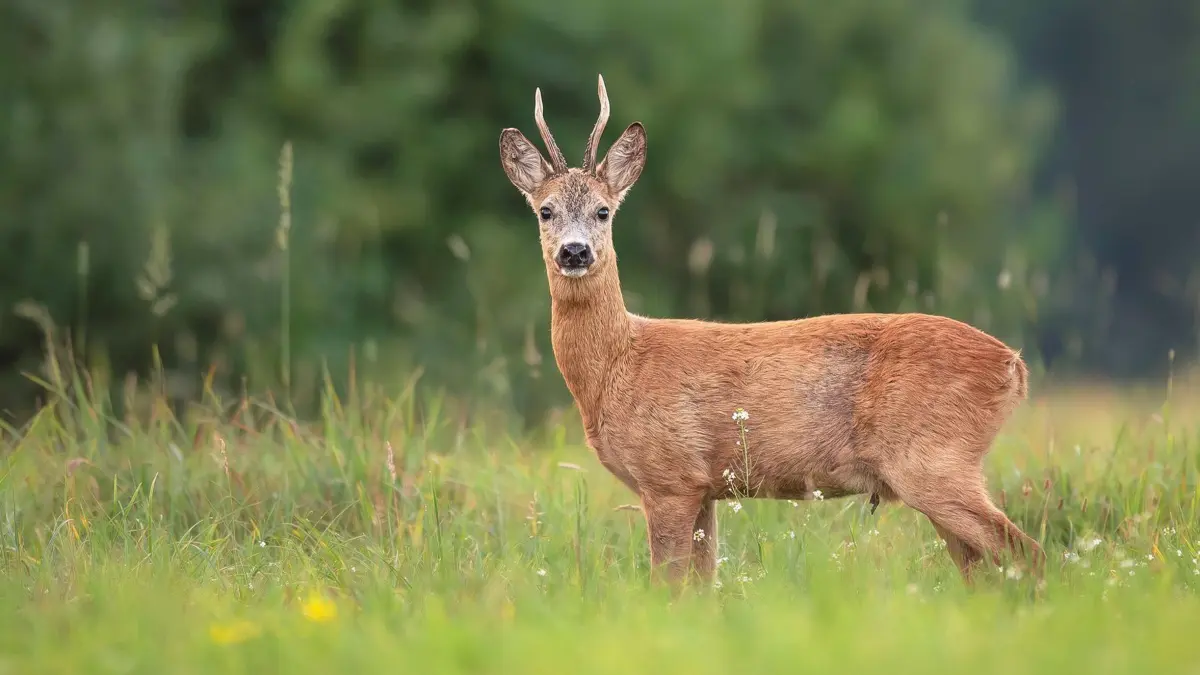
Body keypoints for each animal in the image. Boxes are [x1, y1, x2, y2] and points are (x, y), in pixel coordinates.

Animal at [498, 74, 1045, 587]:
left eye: (603, 211)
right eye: (545, 210)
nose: (574, 252)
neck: (617, 366)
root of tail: (1012, 365)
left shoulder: (670, 476)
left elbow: (667, 583)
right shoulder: (704, 489)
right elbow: (702, 585)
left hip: (932, 459)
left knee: (1025, 552)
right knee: (983, 566)